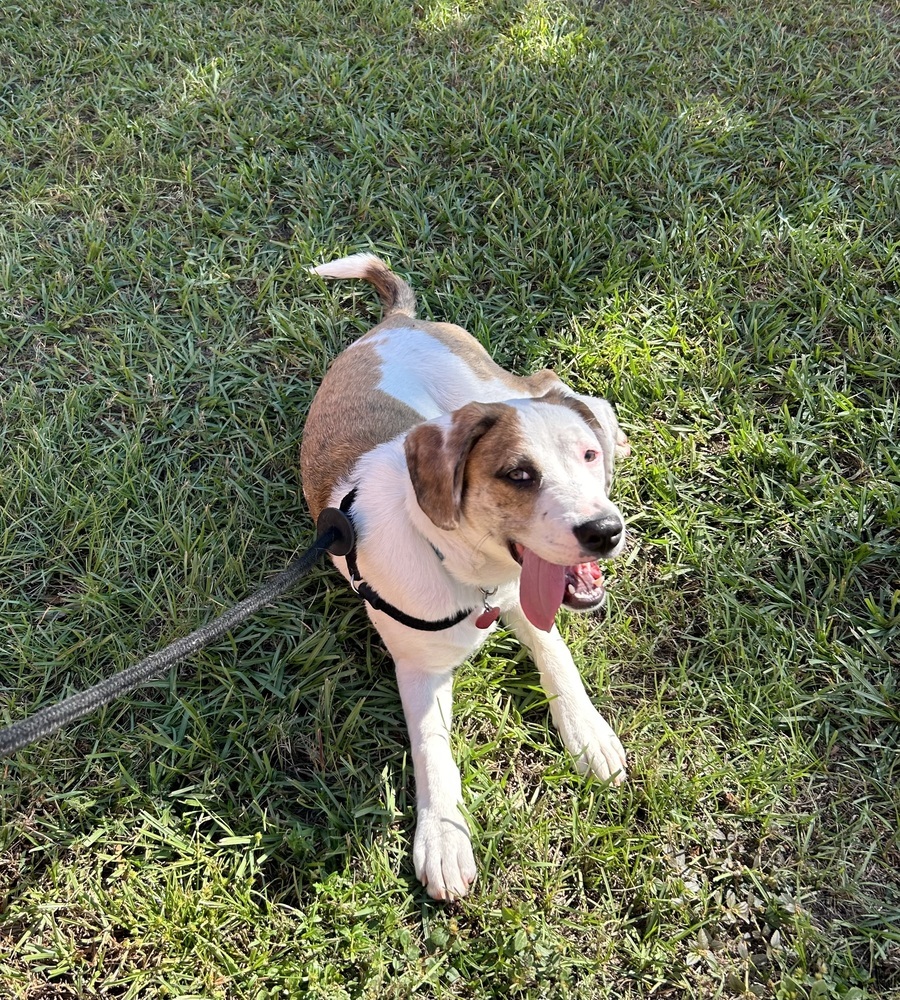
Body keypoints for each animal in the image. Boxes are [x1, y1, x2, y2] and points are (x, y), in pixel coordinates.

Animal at [298, 254, 628, 904]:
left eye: (586, 457)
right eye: (518, 475)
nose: (605, 531)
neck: (468, 572)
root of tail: (395, 323)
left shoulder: (527, 602)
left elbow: (559, 661)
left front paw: (588, 733)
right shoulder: (419, 670)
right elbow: (433, 750)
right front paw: (444, 838)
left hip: (487, 390)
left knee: (547, 380)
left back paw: (613, 428)